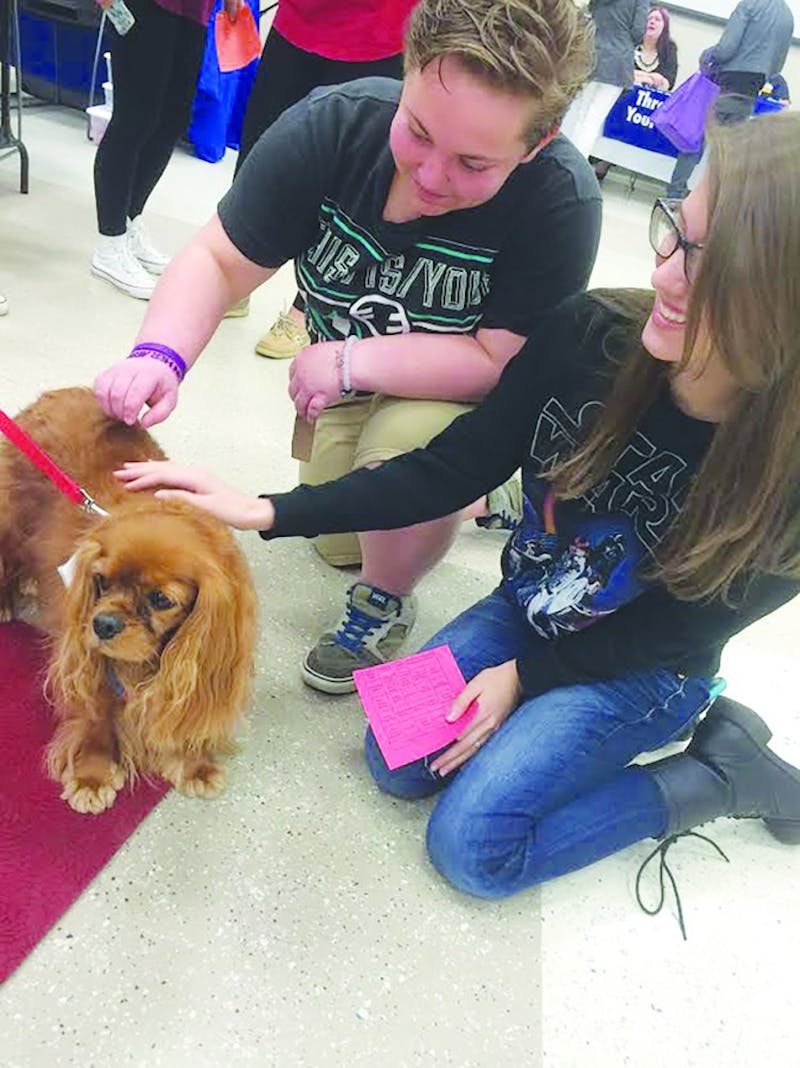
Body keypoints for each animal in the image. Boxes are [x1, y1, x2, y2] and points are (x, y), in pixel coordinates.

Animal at [0, 388, 256, 811]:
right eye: (101, 581)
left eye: (161, 600)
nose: (102, 624)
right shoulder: (90, 660)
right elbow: (97, 718)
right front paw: (92, 775)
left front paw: (194, 764)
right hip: (8, 514)